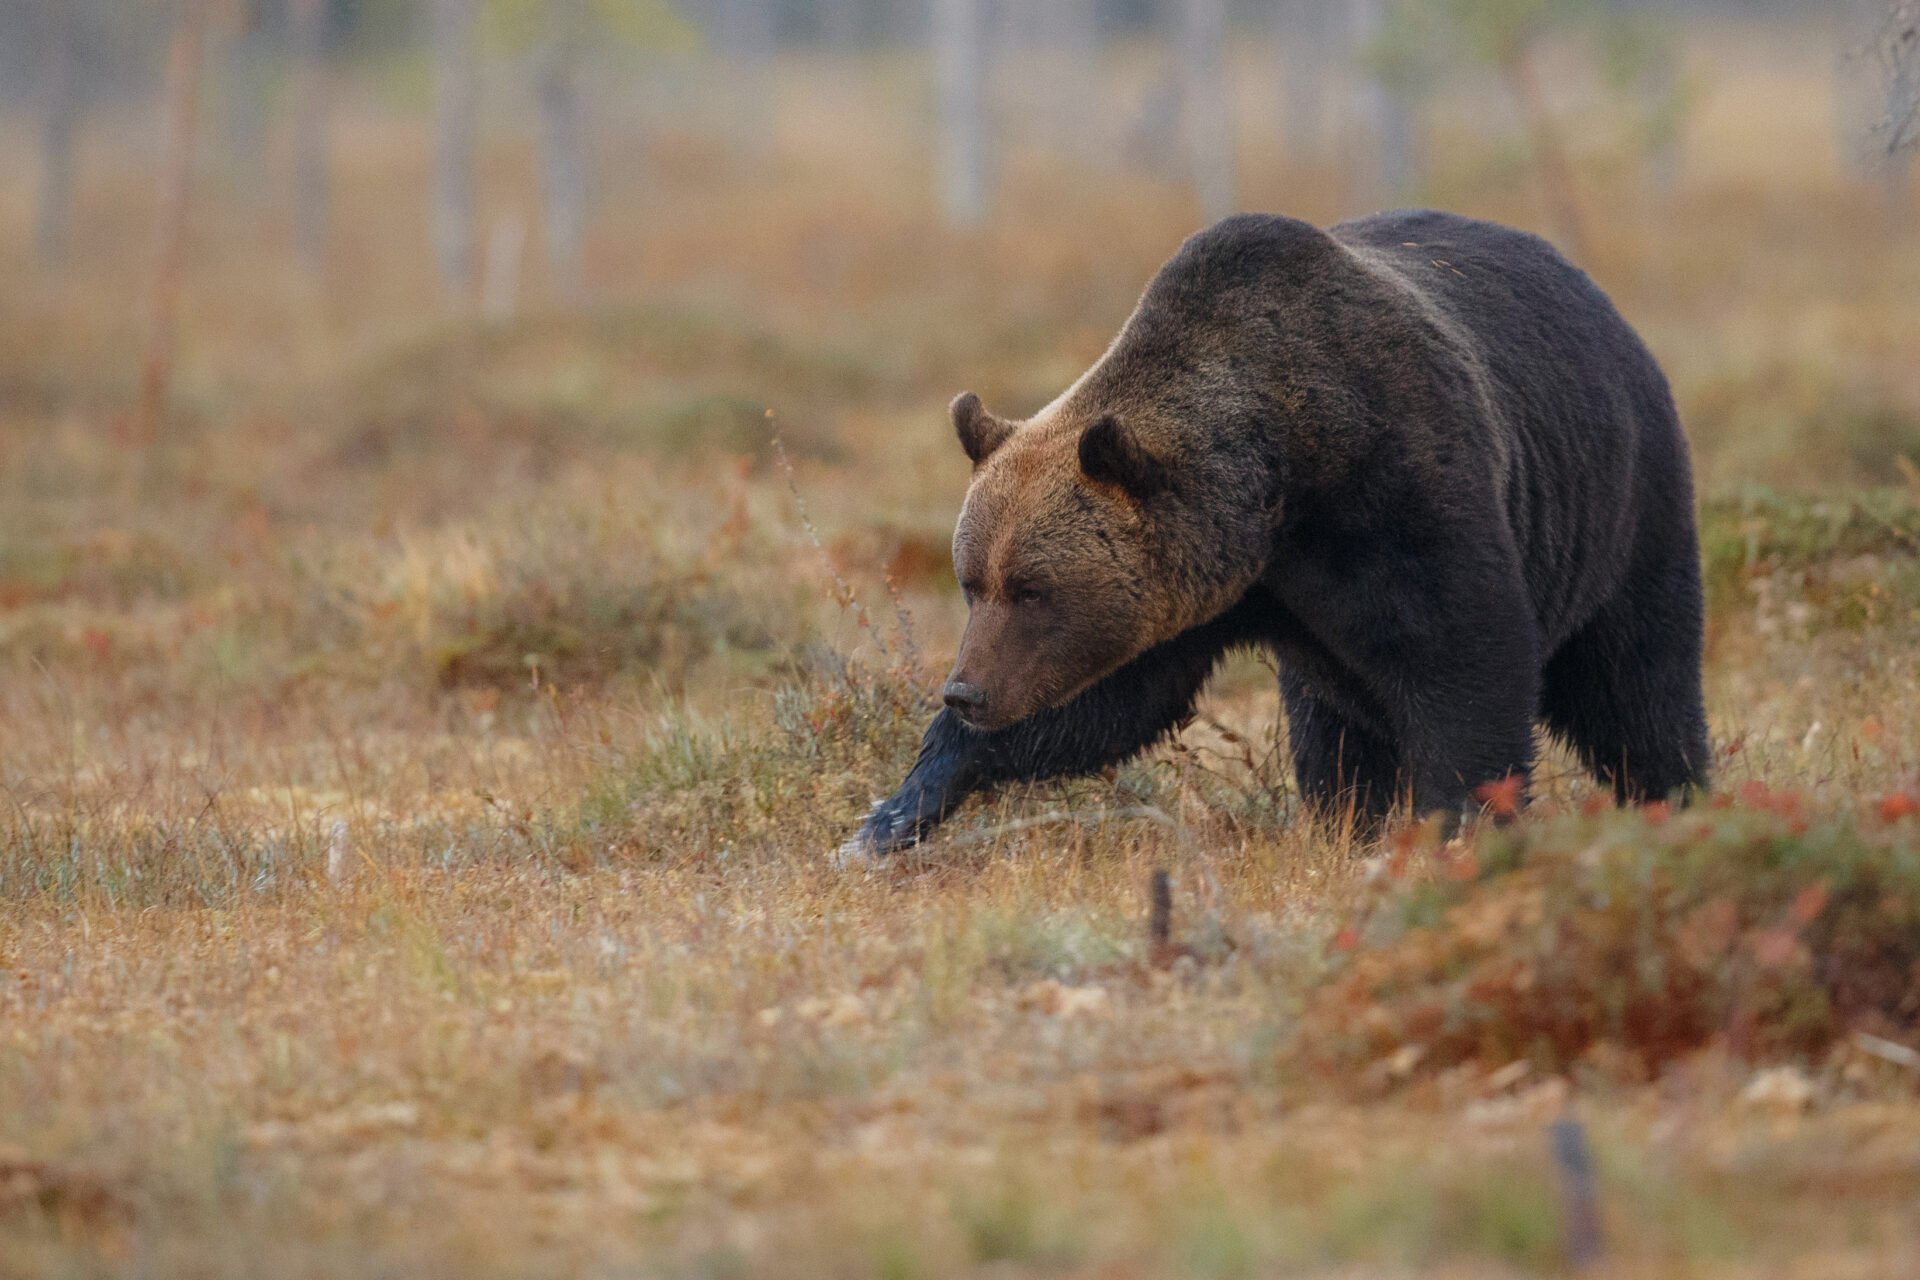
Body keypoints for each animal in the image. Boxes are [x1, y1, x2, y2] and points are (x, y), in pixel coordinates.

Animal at [840, 210, 1712, 859]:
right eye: (972, 581)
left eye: (1033, 588)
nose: (965, 690)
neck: (1279, 490)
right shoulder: (1201, 593)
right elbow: (1103, 705)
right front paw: (889, 816)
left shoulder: (1400, 492)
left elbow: (1467, 664)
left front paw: (1456, 828)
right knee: (1331, 724)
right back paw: (1341, 819)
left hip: (1623, 505)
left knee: (1637, 683)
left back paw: (1678, 796)